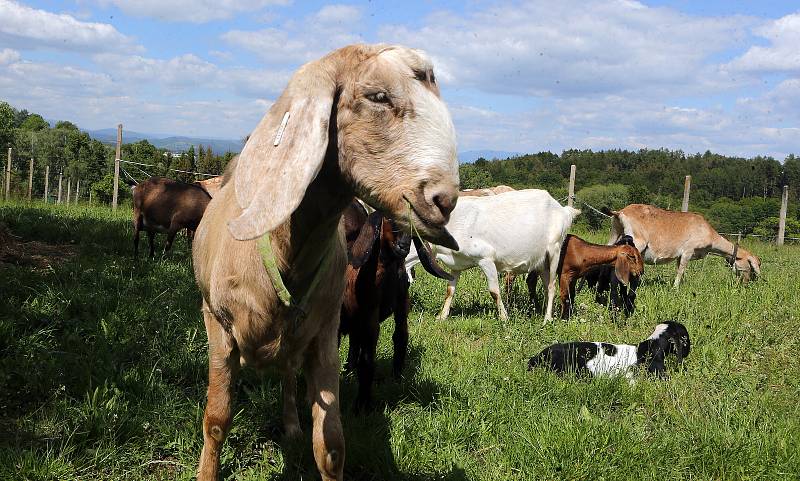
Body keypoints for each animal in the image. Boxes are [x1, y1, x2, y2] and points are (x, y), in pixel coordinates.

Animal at [338, 201, 454, 410]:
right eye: (390, 219)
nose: (403, 246)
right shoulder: (367, 318)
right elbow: (365, 359)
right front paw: (362, 404)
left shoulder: (399, 306)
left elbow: (400, 338)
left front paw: (397, 379)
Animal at [416, 189, 580, 320]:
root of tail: (562, 209)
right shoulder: (456, 264)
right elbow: (450, 291)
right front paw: (442, 316)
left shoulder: (486, 258)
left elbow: (494, 291)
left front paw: (504, 318)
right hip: (541, 261)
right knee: (546, 285)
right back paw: (545, 314)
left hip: (554, 250)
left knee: (552, 286)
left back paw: (546, 319)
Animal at [612, 202, 764, 284]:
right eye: (750, 265)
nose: (746, 283)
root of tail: (620, 212)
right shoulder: (688, 251)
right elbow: (681, 270)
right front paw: (675, 288)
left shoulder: (680, 256)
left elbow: (680, 270)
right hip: (637, 241)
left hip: (615, 234)